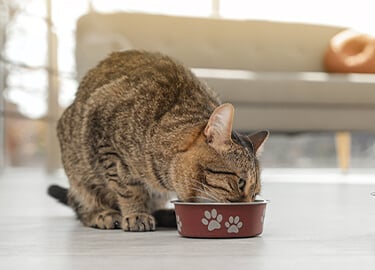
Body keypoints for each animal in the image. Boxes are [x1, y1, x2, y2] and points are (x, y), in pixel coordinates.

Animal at [48, 50, 268, 232]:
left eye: (255, 195)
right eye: (240, 182)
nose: (249, 206)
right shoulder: (104, 135)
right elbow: (127, 187)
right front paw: (136, 213)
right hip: (78, 169)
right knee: (81, 206)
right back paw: (103, 214)